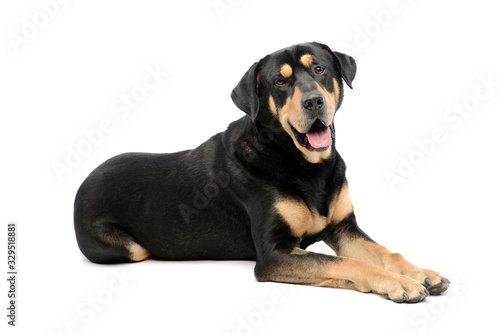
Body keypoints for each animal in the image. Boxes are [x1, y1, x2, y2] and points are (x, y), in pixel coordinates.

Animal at [73, 41, 450, 302]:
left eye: (319, 70)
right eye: (280, 83)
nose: (313, 101)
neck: (303, 164)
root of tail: (82, 183)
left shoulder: (344, 227)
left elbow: (384, 252)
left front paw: (421, 273)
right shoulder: (273, 253)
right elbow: (348, 263)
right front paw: (400, 284)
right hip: (127, 246)